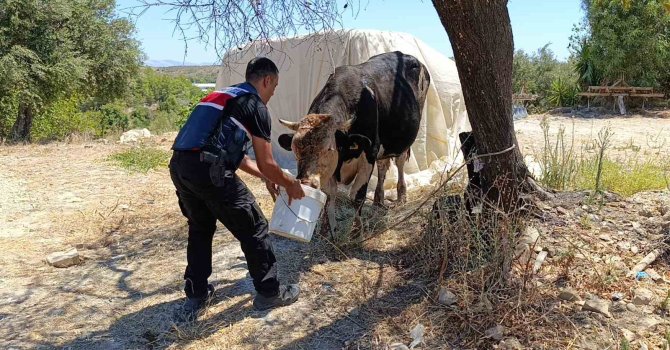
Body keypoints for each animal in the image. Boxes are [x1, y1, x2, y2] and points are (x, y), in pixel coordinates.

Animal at [276, 50, 430, 237]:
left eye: (329, 149)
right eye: (295, 149)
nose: (306, 181)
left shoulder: (369, 152)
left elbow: (357, 196)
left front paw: (356, 231)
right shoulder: (331, 168)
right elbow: (329, 195)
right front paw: (326, 229)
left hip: (403, 139)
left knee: (399, 163)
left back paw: (401, 196)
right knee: (383, 166)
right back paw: (379, 199)